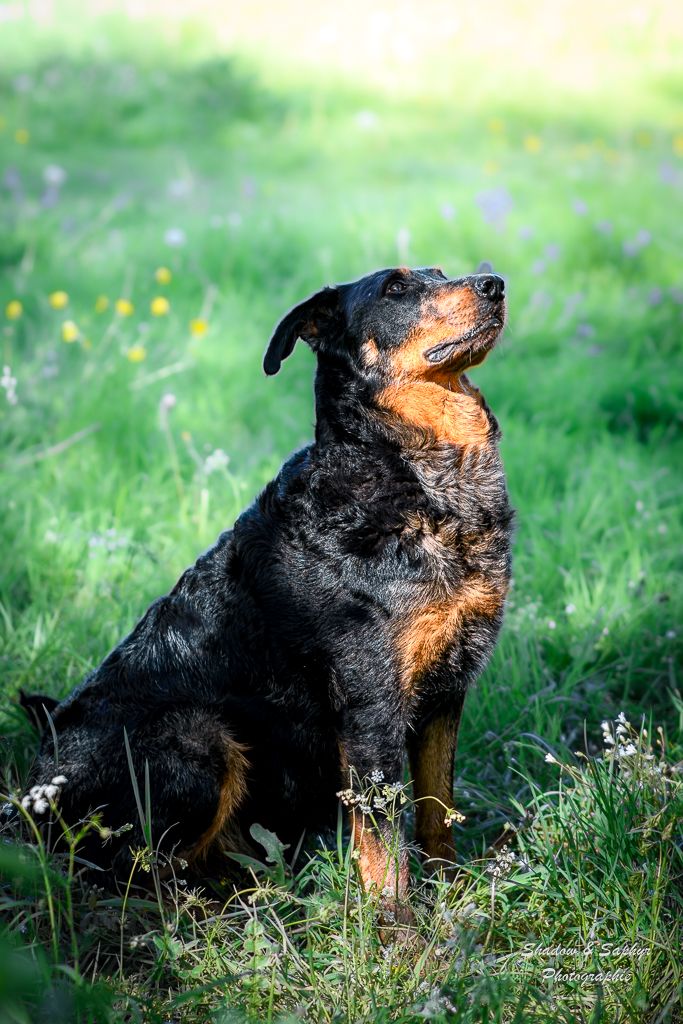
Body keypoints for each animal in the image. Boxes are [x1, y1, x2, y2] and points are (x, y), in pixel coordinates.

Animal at [10, 264, 511, 921]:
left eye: (443, 272)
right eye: (396, 289)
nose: (495, 283)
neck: (421, 481)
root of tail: (28, 800)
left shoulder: (445, 692)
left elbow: (436, 814)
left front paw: (453, 898)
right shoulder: (370, 705)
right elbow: (383, 845)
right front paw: (399, 932)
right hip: (198, 736)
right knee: (126, 871)